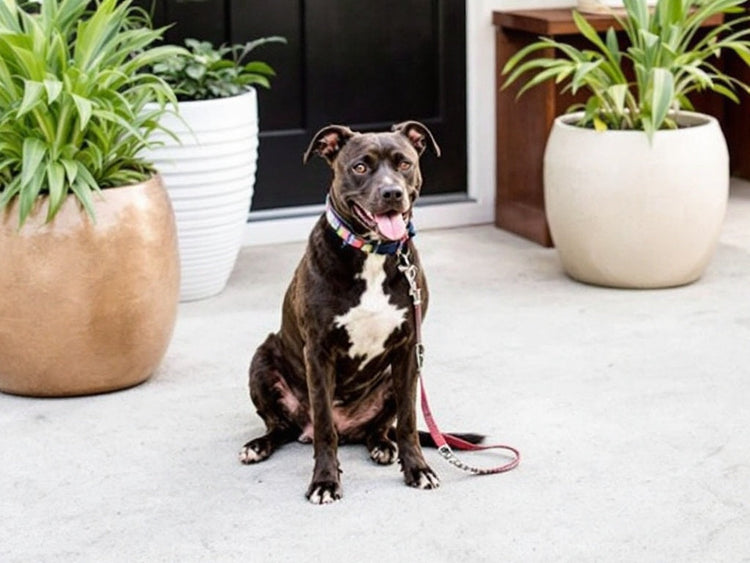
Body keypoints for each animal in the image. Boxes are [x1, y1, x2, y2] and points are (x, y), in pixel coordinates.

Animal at [239, 121, 440, 504]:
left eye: (404, 163)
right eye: (360, 167)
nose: (392, 193)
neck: (373, 253)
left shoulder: (409, 350)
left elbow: (408, 422)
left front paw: (417, 469)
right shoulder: (318, 352)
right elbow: (324, 428)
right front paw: (325, 481)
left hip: (389, 381)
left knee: (381, 428)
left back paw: (382, 445)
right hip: (261, 359)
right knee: (281, 426)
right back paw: (259, 445)